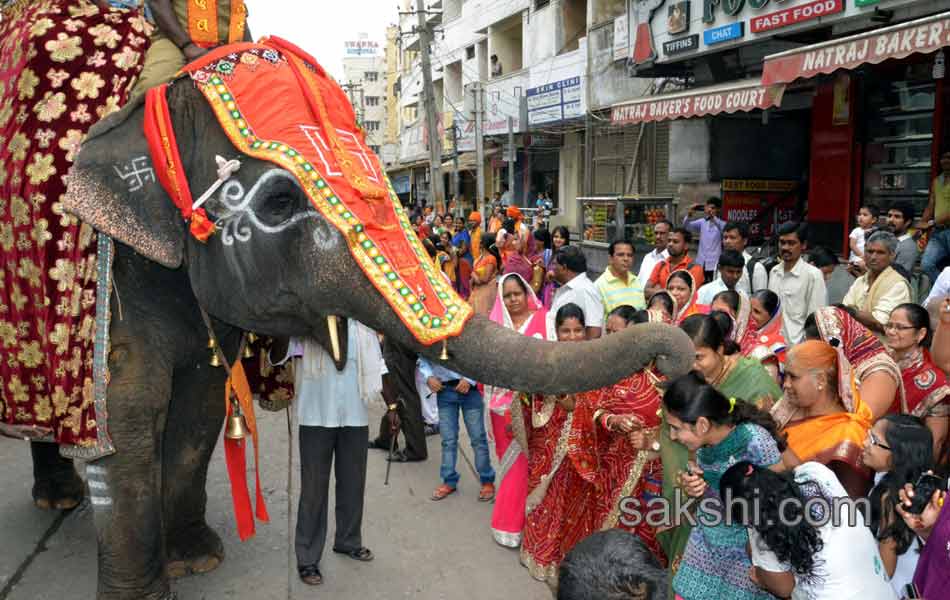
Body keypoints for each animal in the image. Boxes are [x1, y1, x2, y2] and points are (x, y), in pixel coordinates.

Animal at [20, 39, 700, 596]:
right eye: (279, 201)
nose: (672, 354)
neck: (155, 98)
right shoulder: (110, 274)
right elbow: (129, 415)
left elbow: (201, 404)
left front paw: (195, 560)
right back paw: (58, 498)